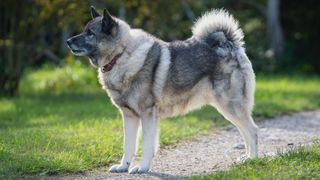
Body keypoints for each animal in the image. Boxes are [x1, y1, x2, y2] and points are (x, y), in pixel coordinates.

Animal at [66, 6, 258, 174]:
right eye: (84, 30)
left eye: (90, 33)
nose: (68, 41)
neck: (121, 54)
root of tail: (228, 43)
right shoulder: (129, 116)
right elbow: (128, 145)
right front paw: (123, 166)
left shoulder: (147, 114)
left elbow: (147, 145)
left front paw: (142, 168)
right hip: (228, 108)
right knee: (245, 132)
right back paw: (246, 158)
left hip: (230, 106)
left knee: (252, 130)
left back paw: (253, 160)